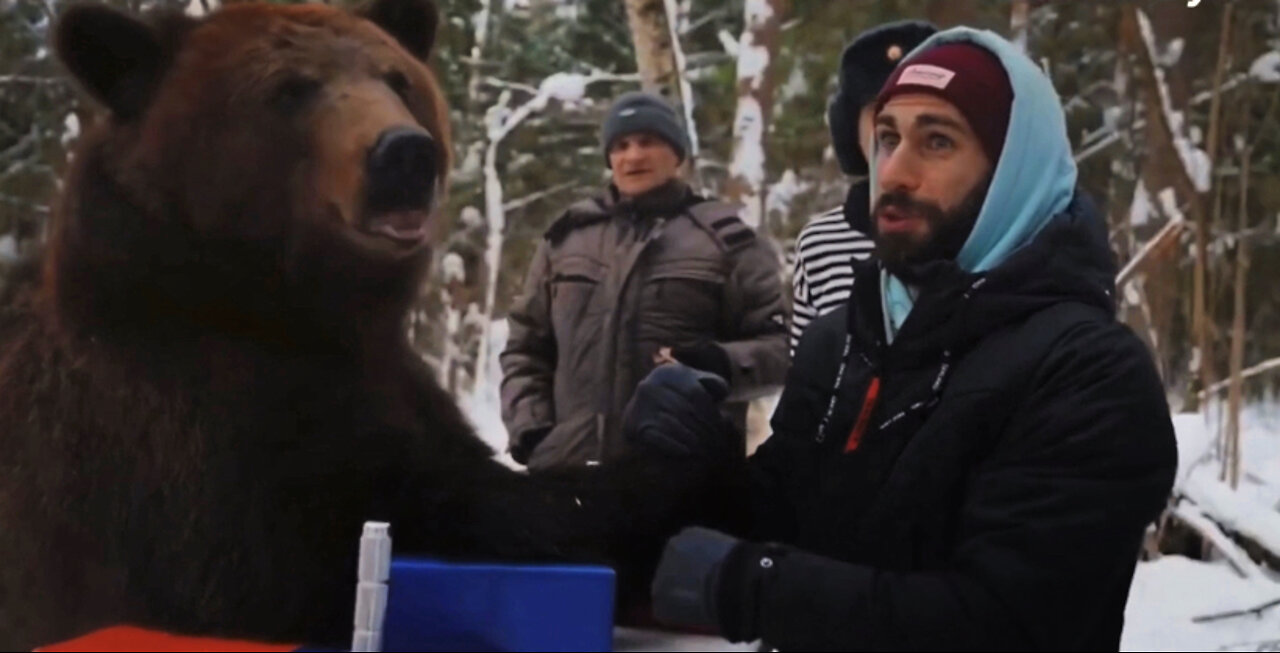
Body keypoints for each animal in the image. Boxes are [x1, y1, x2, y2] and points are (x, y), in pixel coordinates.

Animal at [0, 2, 742, 650]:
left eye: (397, 78)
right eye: (289, 88)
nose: (405, 153)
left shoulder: (389, 383)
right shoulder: (180, 442)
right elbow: (404, 530)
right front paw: (671, 442)